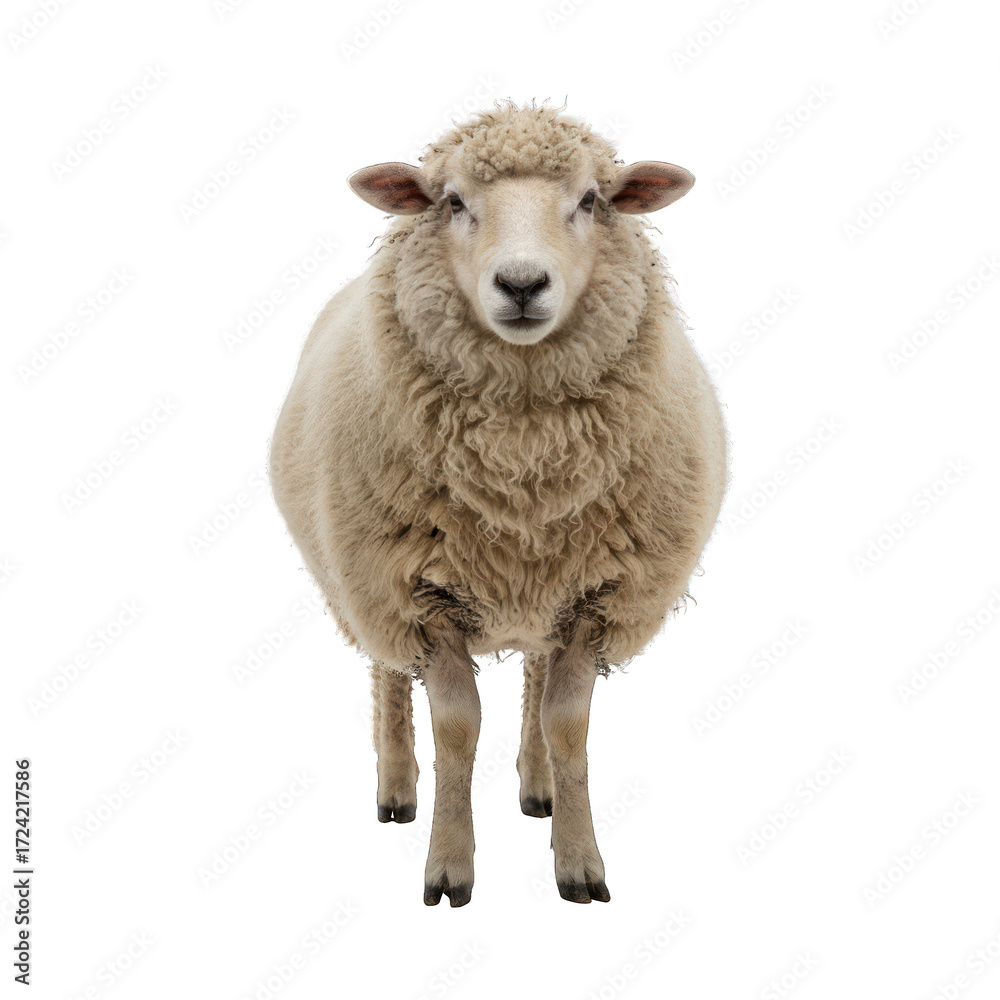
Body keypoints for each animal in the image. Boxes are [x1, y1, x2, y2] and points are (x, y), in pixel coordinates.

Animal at [269, 101, 729, 907]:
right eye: (453, 201)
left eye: (591, 200)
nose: (520, 284)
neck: (523, 469)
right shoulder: (420, 596)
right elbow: (456, 729)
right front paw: (449, 867)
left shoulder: (597, 596)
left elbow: (567, 725)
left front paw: (579, 862)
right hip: (361, 579)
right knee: (388, 676)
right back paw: (396, 790)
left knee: (536, 685)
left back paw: (537, 788)